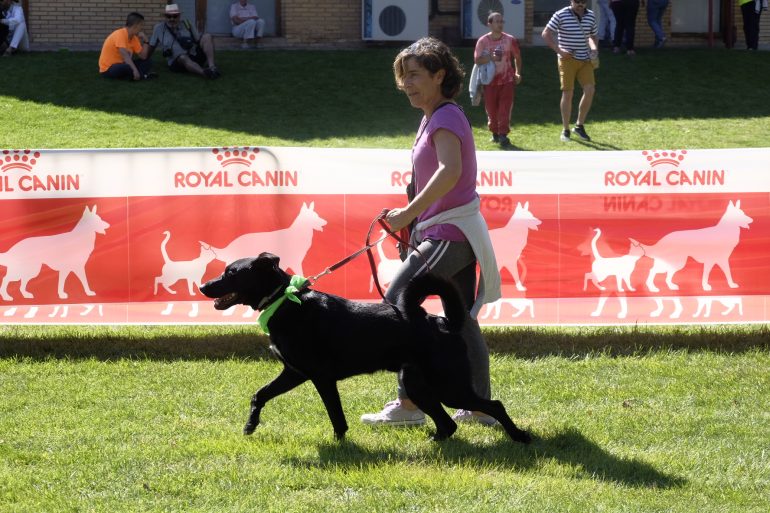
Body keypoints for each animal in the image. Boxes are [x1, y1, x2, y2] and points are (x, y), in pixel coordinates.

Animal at [200, 250, 528, 442]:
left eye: (231, 273)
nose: (203, 286)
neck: (286, 300)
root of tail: (444, 322)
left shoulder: (320, 377)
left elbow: (336, 415)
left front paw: (340, 445)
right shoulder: (293, 372)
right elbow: (260, 395)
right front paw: (250, 425)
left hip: (448, 385)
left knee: (493, 405)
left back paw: (519, 436)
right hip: (418, 385)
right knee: (448, 425)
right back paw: (435, 442)